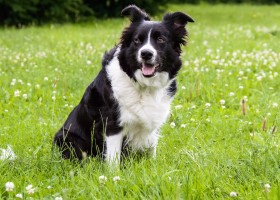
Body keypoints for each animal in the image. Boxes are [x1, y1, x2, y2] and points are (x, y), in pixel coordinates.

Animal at [53, 5, 194, 164]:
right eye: (137, 40)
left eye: (161, 39)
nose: (146, 54)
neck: (144, 85)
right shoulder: (113, 124)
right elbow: (113, 158)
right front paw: (113, 171)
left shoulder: (153, 121)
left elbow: (151, 149)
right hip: (66, 138)